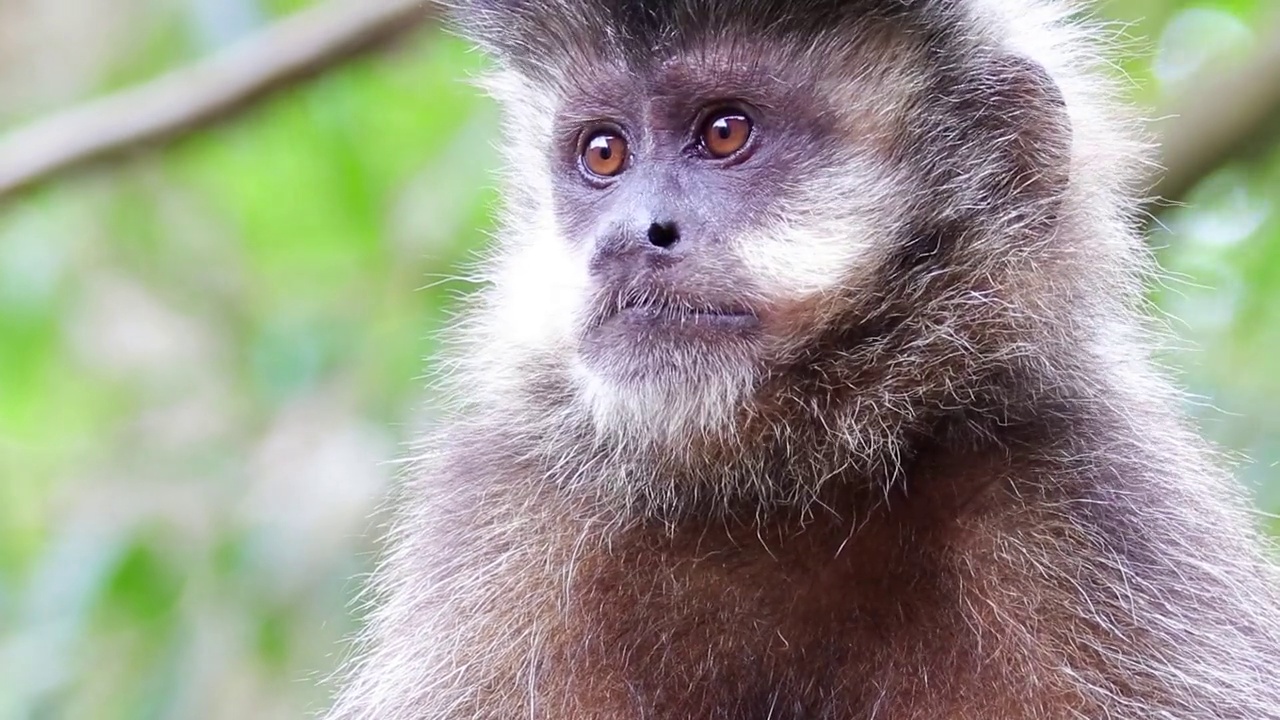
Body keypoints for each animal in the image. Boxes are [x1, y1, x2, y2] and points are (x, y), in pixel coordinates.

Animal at [325, 1, 1280, 717]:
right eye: (604, 153)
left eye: (725, 133)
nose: (631, 237)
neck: (781, 483)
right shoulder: (505, 521)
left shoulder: (1094, 506)